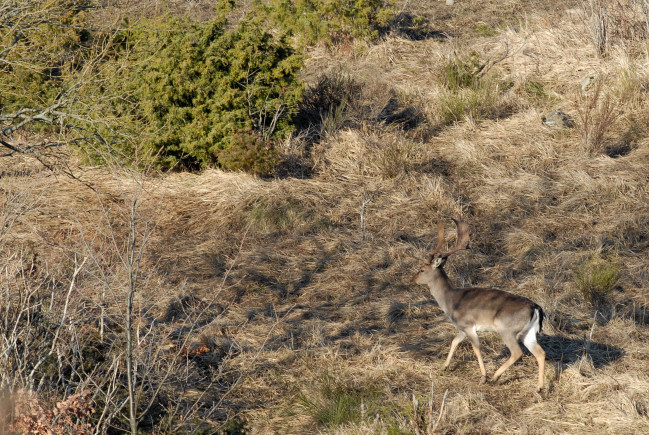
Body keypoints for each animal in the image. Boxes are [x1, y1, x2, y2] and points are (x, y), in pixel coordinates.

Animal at [412, 220, 544, 394]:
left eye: (421, 269)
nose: (413, 279)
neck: (451, 301)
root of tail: (536, 307)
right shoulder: (462, 327)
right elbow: (454, 341)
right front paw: (444, 367)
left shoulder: (468, 325)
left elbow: (476, 348)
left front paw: (483, 377)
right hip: (528, 332)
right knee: (540, 353)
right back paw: (540, 387)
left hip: (506, 328)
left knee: (517, 352)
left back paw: (495, 377)